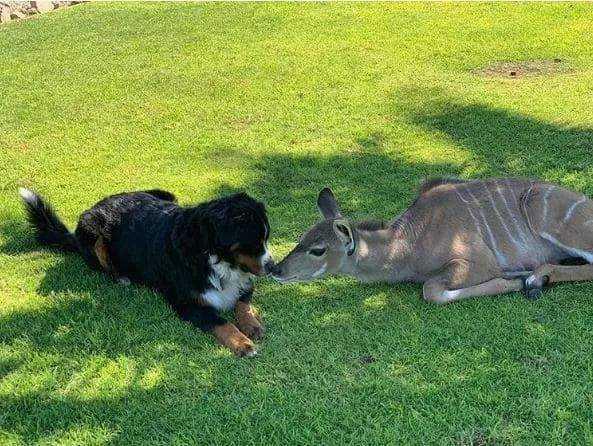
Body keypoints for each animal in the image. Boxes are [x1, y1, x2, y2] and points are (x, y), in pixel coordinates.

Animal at [19, 186, 274, 358]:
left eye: (266, 238)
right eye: (254, 242)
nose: (272, 266)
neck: (212, 257)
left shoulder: (243, 283)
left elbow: (243, 305)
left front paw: (252, 326)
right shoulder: (188, 305)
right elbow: (222, 324)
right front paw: (242, 344)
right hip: (95, 235)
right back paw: (123, 278)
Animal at [272, 178, 593, 304]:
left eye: (318, 250)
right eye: (301, 238)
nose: (276, 269)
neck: (407, 246)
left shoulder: (477, 262)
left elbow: (431, 290)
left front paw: (515, 280)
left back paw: (536, 278)